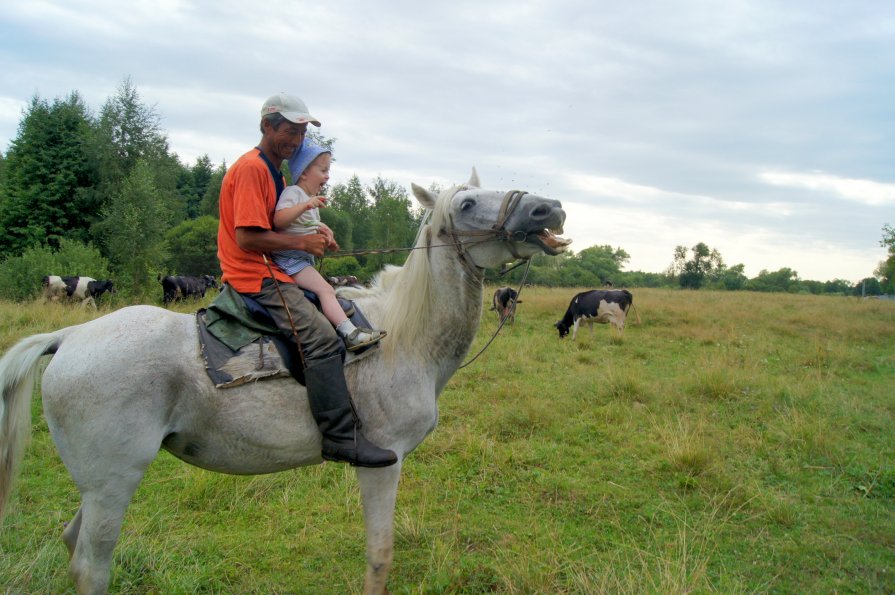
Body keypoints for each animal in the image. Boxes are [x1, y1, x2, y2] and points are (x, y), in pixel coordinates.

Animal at [0, 170, 572, 592]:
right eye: (469, 203)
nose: (549, 209)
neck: (404, 338)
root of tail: (71, 337)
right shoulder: (383, 462)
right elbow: (380, 556)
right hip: (113, 485)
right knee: (90, 567)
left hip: (99, 487)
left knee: (72, 543)